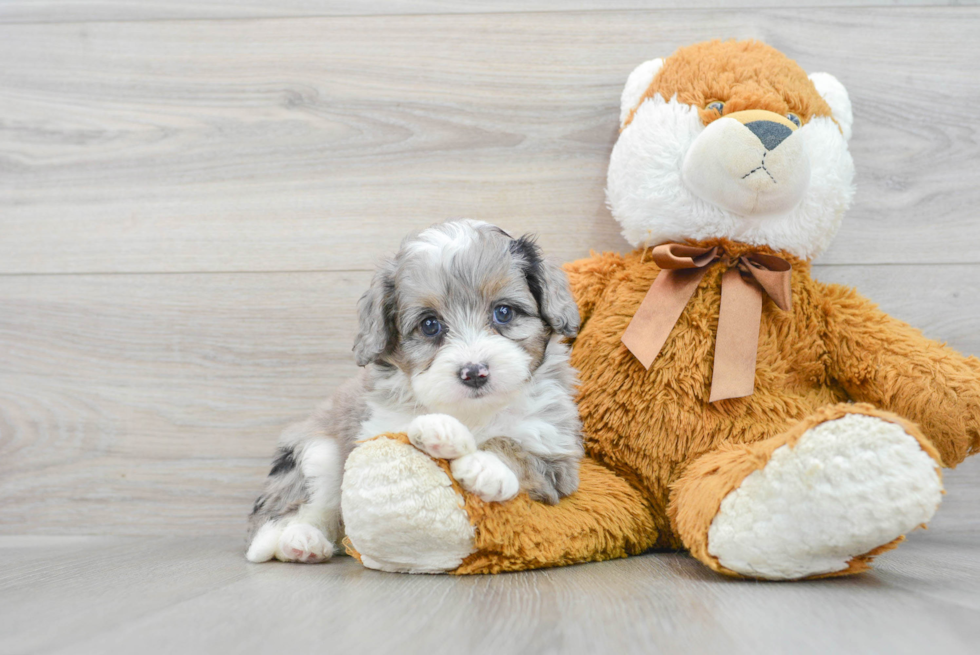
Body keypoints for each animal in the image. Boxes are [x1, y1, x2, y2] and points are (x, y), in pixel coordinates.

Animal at [245, 220, 580, 564]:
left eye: (504, 312)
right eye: (430, 325)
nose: (474, 373)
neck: (472, 411)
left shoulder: (555, 453)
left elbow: (517, 449)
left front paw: (486, 465)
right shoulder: (378, 429)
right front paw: (444, 432)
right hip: (319, 453)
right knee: (298, 509)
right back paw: (300, 540)